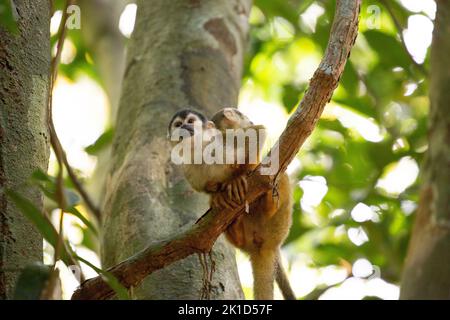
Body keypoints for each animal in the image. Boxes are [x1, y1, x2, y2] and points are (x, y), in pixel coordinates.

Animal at [169, 107, 296, 300]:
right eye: (178, 124)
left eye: (190, 121)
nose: (184, 127)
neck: (198, 152)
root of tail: (264, 247)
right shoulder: (188, 170)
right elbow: (204, 187)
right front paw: (216, 194)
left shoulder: (222, 141)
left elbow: (256, 134)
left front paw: (238, 176)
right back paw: (234, 228)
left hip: (279, 226)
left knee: (277, 172)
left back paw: (269, 203)